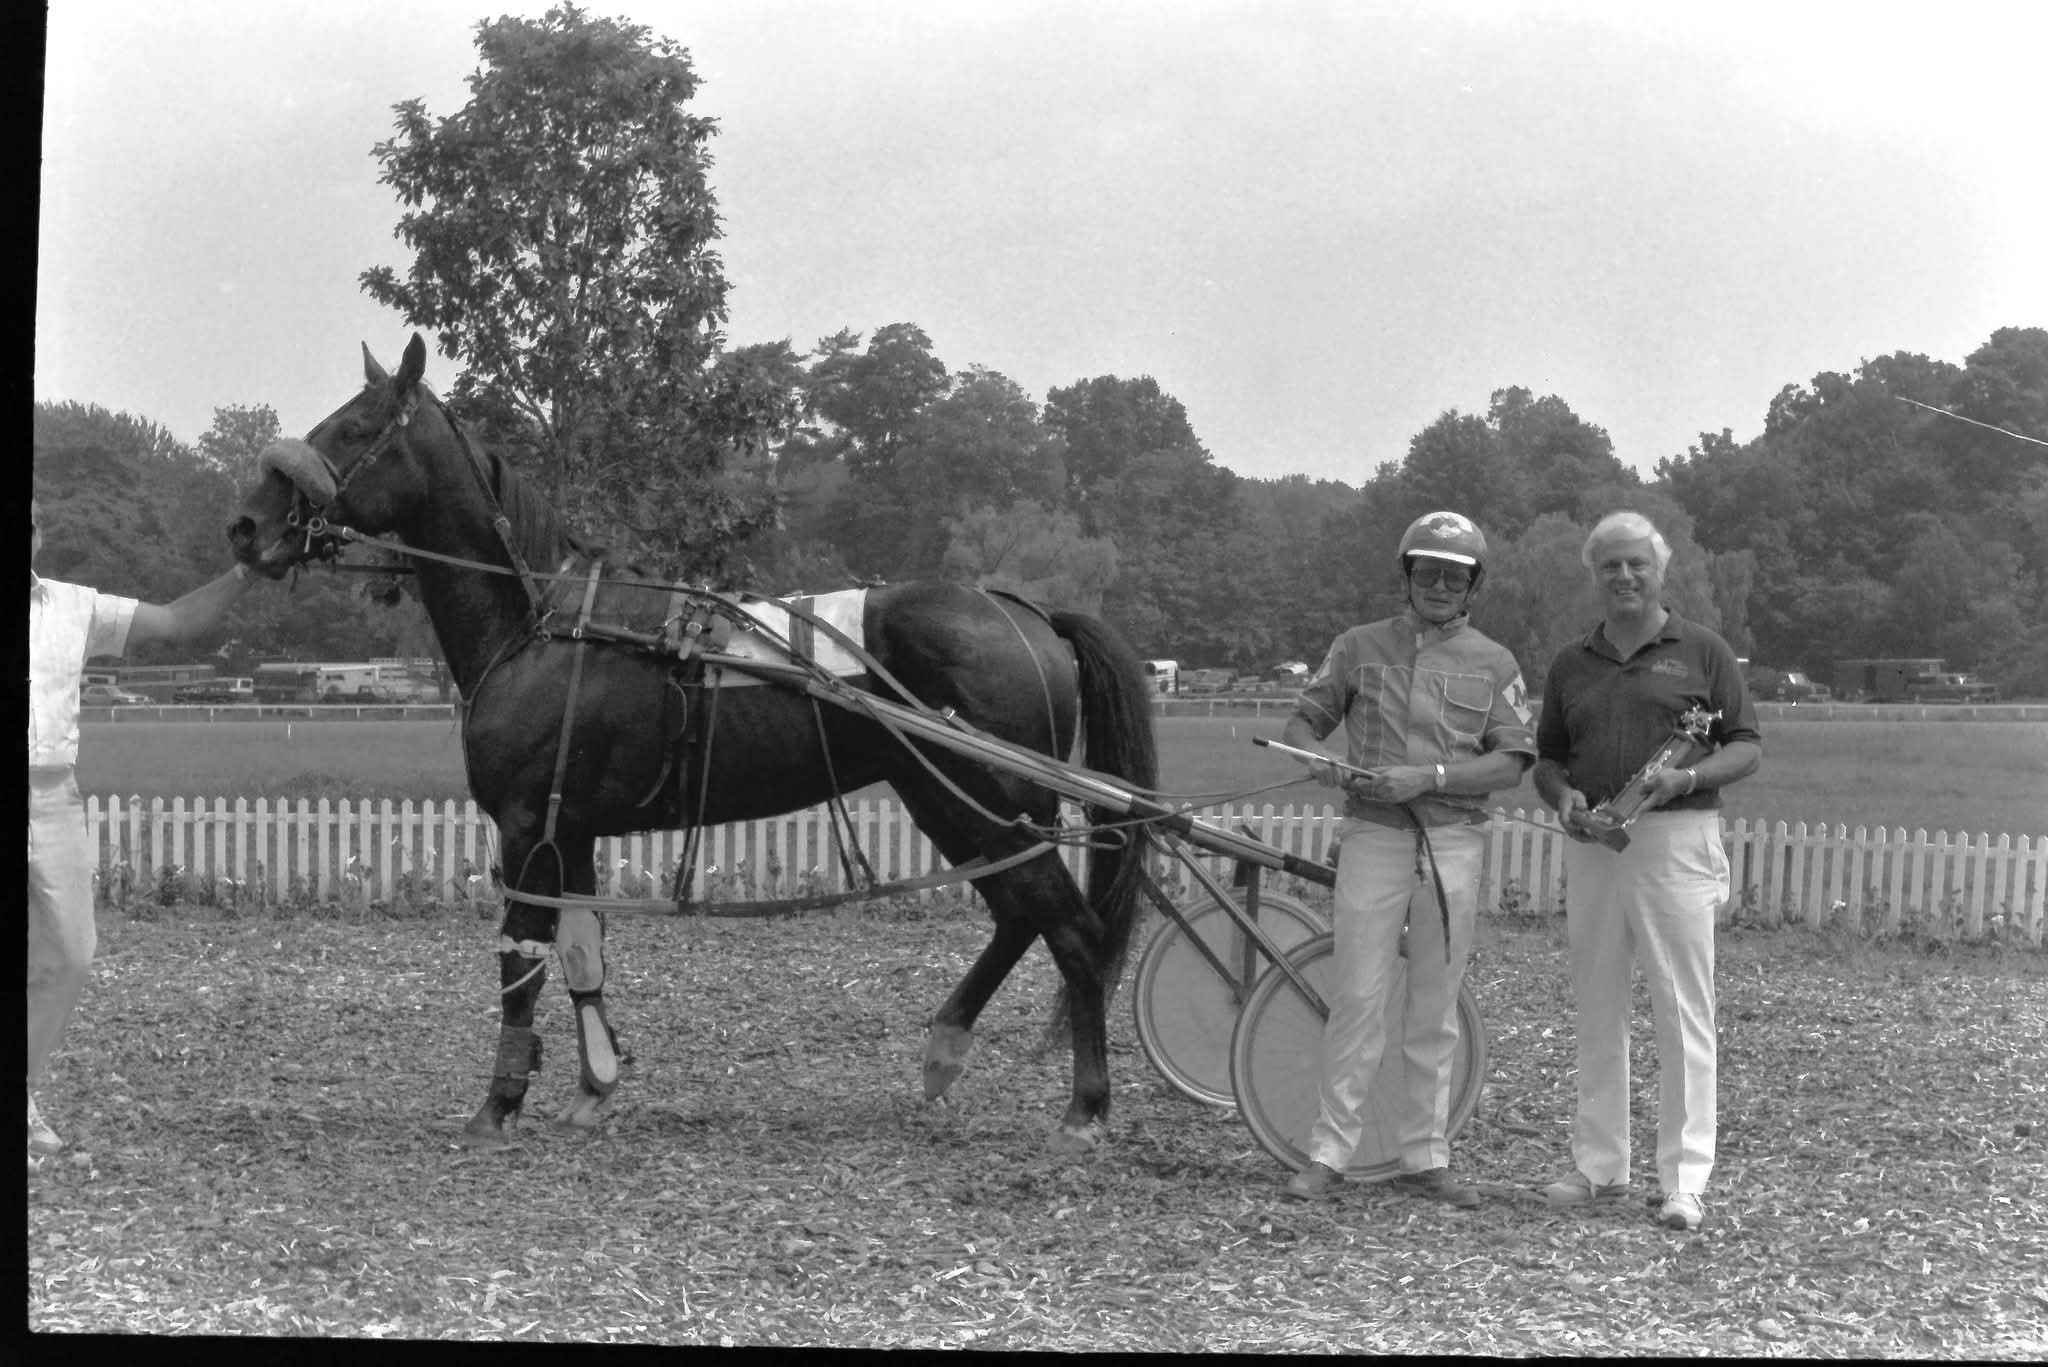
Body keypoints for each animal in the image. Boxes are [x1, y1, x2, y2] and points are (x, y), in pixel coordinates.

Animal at [226, 334, 1159, 1152]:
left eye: (352, 428)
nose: (245, 523)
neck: (544, 622)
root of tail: (1029, 613)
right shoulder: (571, 830)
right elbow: (581, 952)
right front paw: (595, 1084)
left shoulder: (527, 826)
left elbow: (522, 961)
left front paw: (500, 1102)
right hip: (951, 801)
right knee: (1020, 916)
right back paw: (947, 1048)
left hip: (990, 805)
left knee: (1070, 930)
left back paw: (1085, 1107)